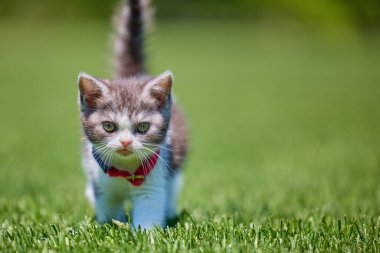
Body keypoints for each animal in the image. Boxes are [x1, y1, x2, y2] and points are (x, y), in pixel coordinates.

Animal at [78, 0, 188, 229]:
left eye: (143, 127)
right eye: (109, 126)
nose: (126, 142)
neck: (124, 171)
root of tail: (134, 75)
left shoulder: (155, 180)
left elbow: (149, 208)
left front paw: (146, 233)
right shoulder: (101, 182)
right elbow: (107, 206)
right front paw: (110, 225)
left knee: (173, 187)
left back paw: (170, 210)